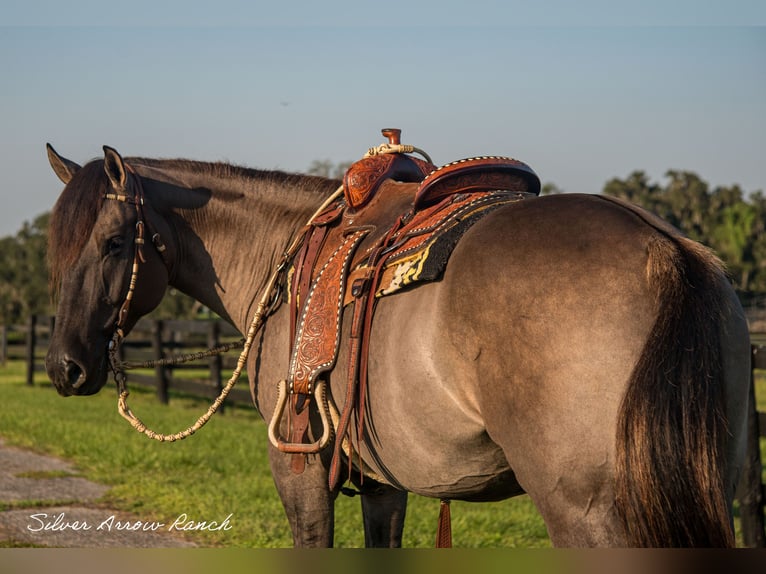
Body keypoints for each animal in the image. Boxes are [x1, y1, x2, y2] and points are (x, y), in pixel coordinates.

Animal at [43, 144, 752, 548]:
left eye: (113, 243)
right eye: (57, 250)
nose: (63, 368)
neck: (281, 252)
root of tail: (663, 247)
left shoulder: (298, 472)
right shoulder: (385, 483)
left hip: (590, 517)